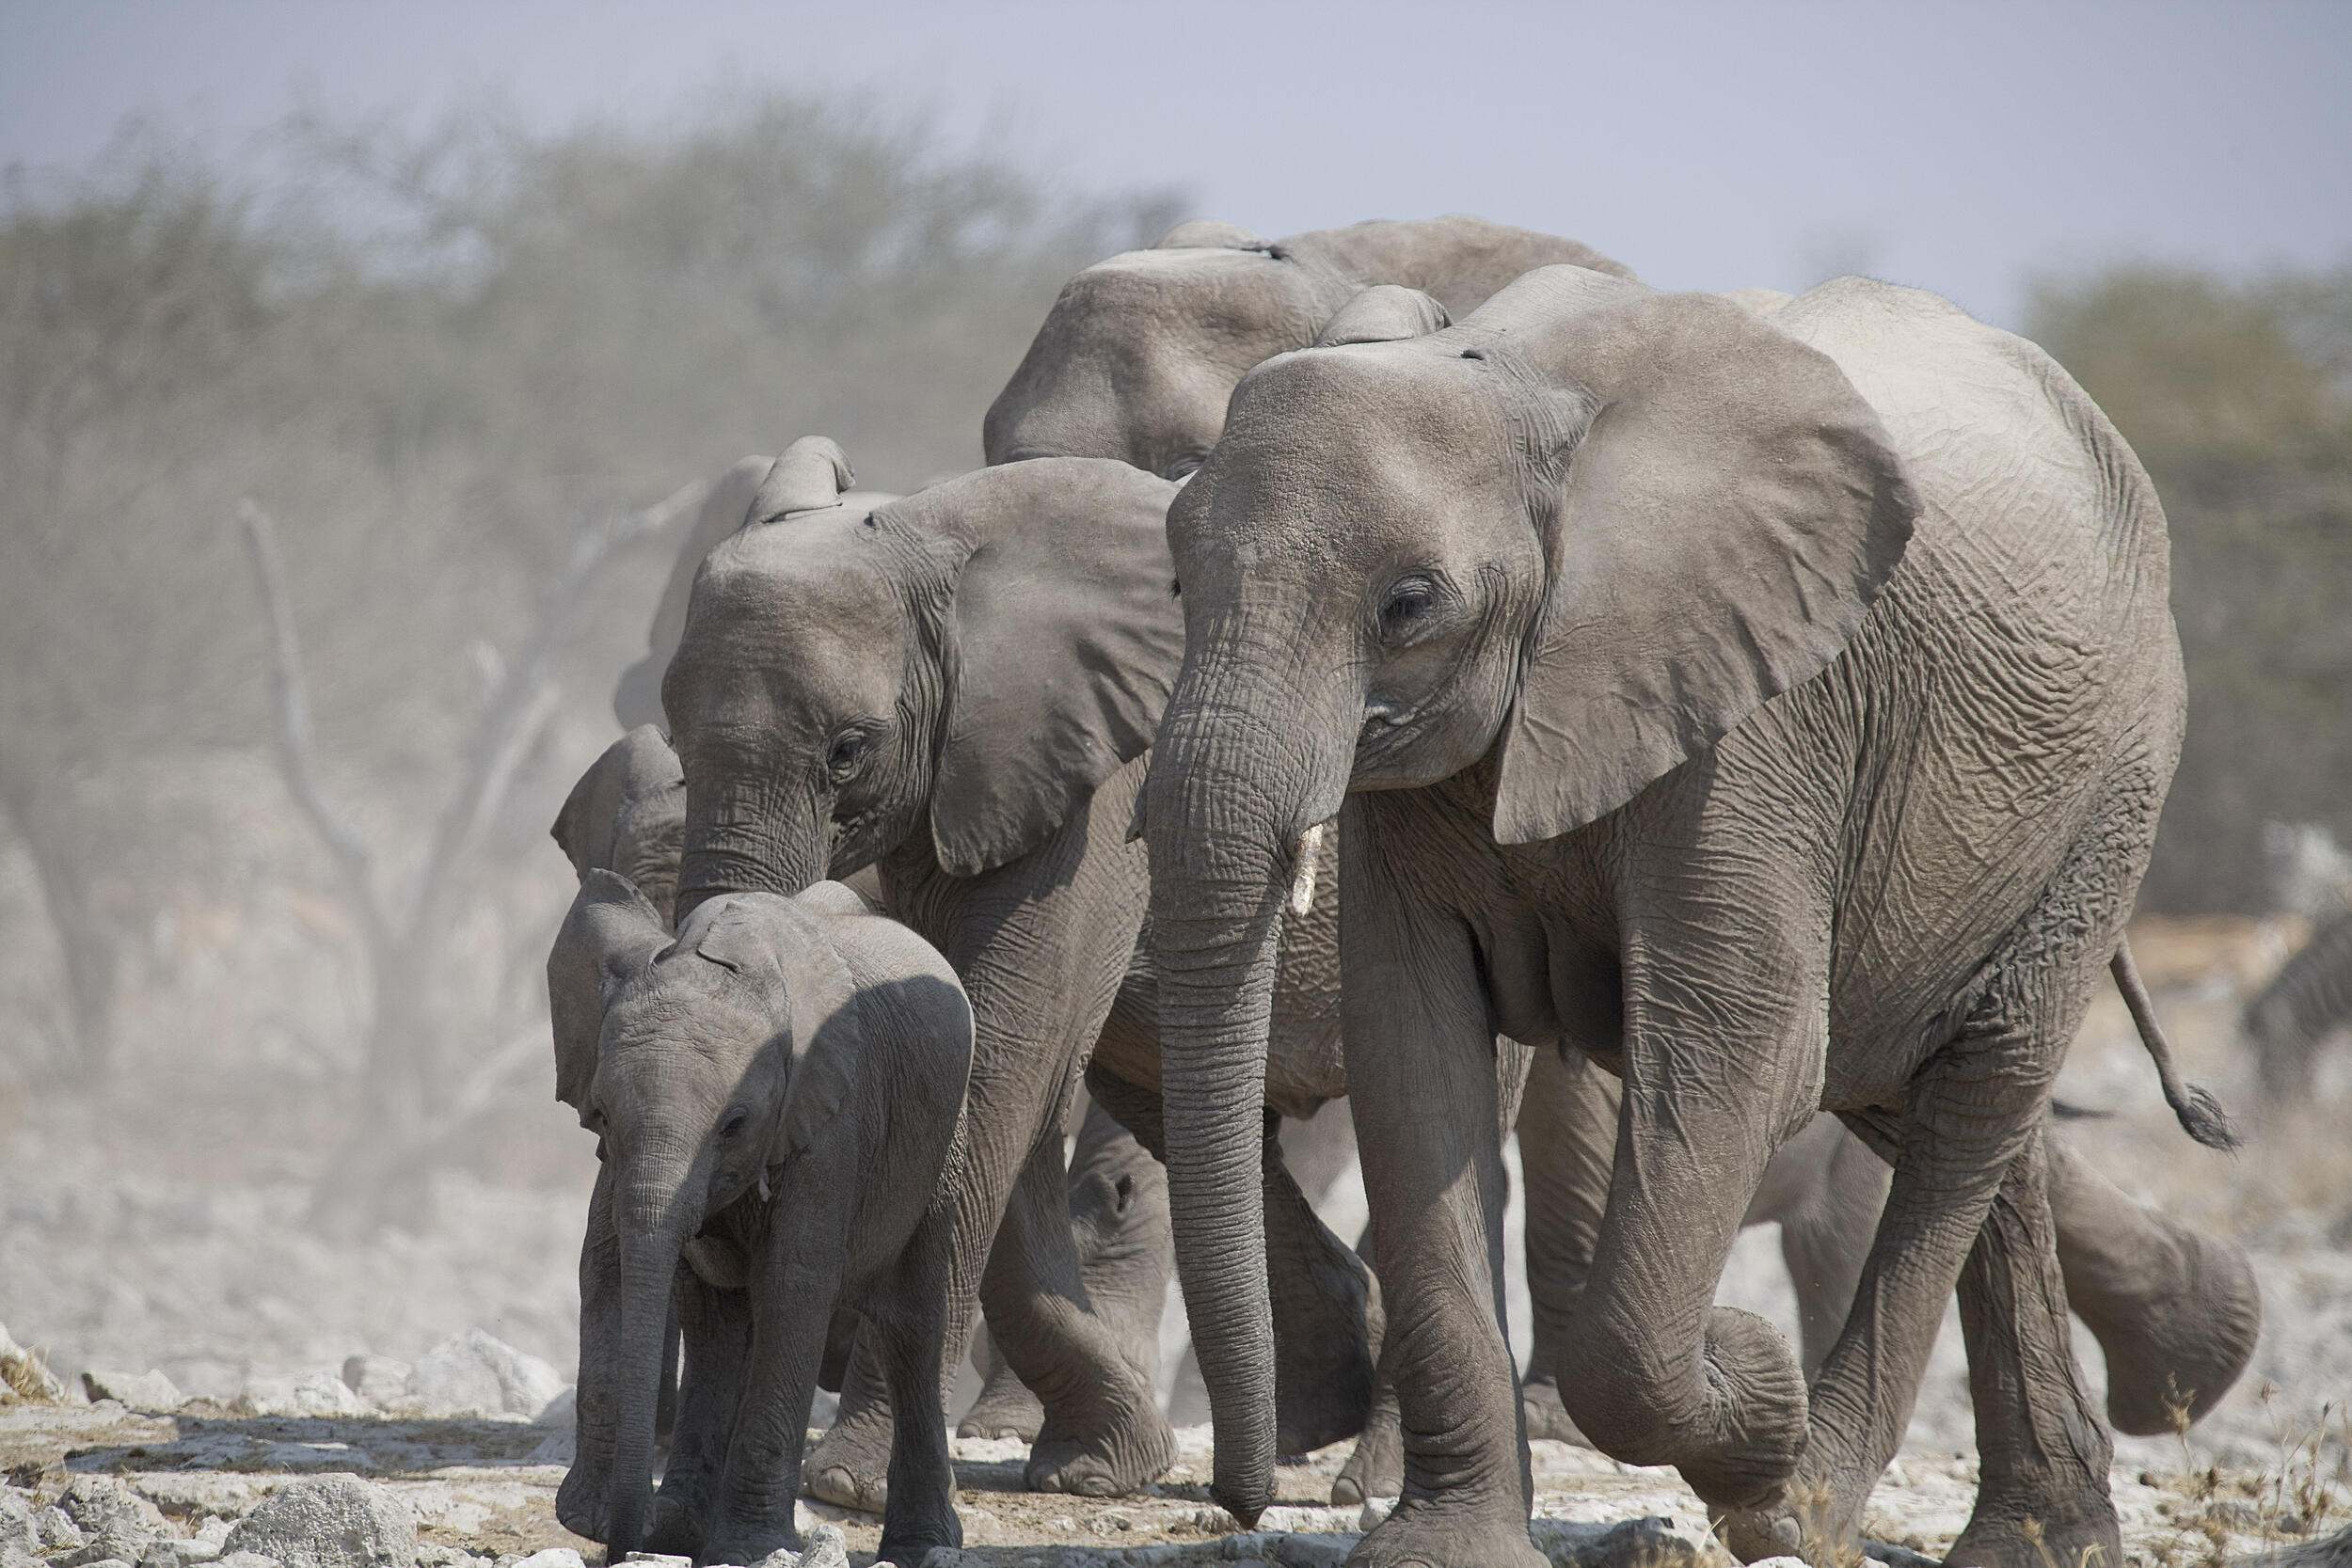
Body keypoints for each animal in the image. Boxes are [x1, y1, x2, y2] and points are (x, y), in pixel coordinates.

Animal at [547, 865, 972, 1568]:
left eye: (735, 1124)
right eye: (601, 1114)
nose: (618, 1550)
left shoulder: (831, 1126)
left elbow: (794, 1288)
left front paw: (749, 1550)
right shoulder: (616, 1160)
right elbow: (605, 1266)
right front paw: (596, 1521)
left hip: (943, 1139)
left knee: (910, 1321)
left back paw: (922, 1545)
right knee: (717, 1324)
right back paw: (678, 1527)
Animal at [660, 441, 1381, 1507]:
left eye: (848, 750)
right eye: (670, 738)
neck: (938, 535)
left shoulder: (1095, 794)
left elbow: (1002, 1063)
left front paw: (849, 1485)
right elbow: (989, 1074)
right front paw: (1100, 1464)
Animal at [981, 214, 2259, 1483]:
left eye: (1409, 604)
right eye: (1177, 572)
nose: (1236, 1499)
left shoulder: (1758, 713)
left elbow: (1729, 1036)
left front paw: (1717, 1387)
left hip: (2115, 780)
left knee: (1964, 1091)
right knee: (1926, 1087)